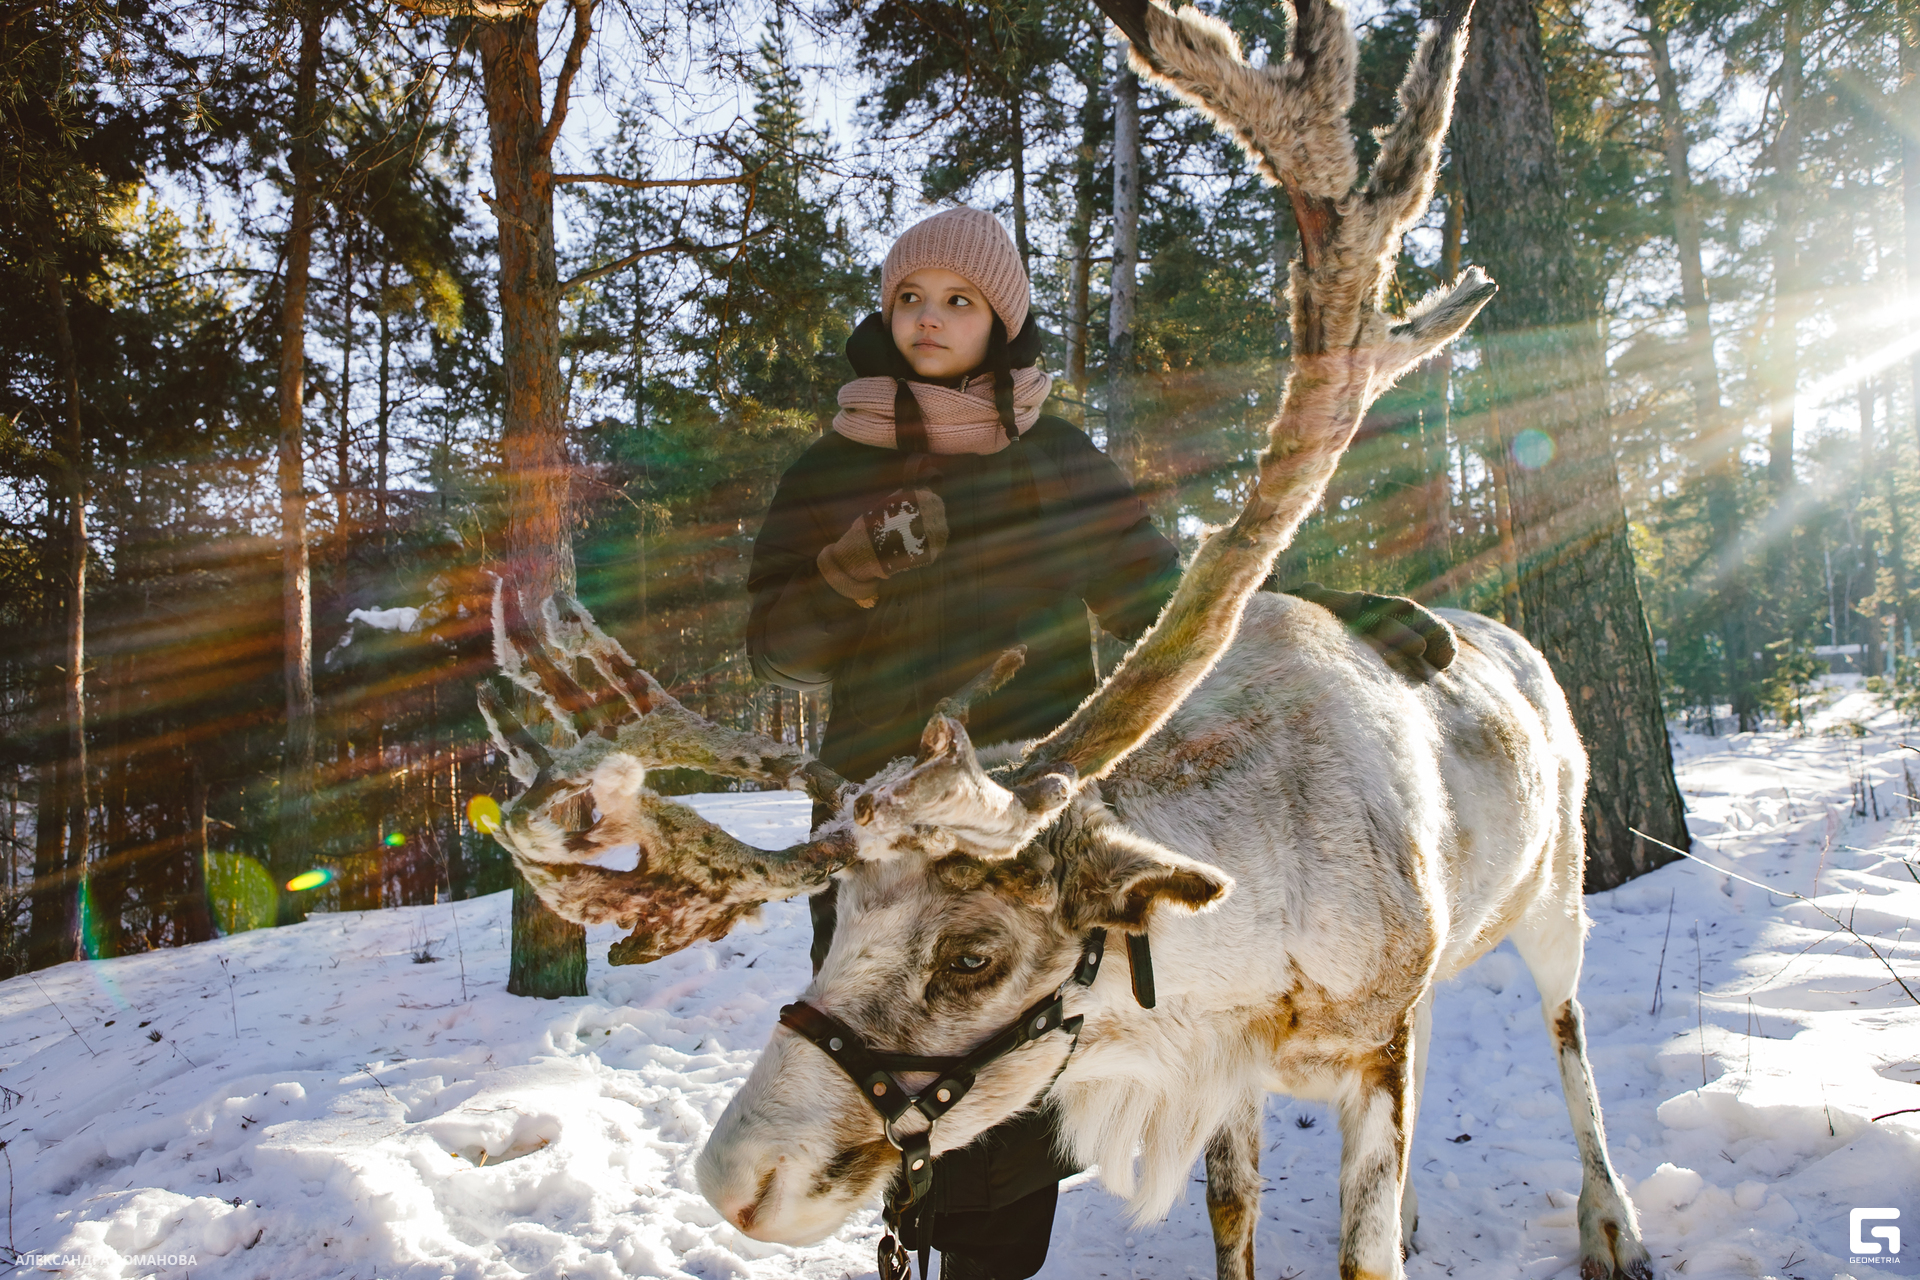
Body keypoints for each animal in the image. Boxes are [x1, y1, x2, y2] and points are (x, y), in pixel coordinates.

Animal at [474, 0, 1656, 1276]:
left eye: (972, 954)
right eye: (835, 925)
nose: (733, 1179)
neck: (1251, 947)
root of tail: (1519, 646)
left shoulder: (1365, 1041)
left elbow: (1365, 1246)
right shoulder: (1233, 1066)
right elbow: (1235, 1214)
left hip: (1559, 885)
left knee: (1571, 1030)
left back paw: (1612, 1219)